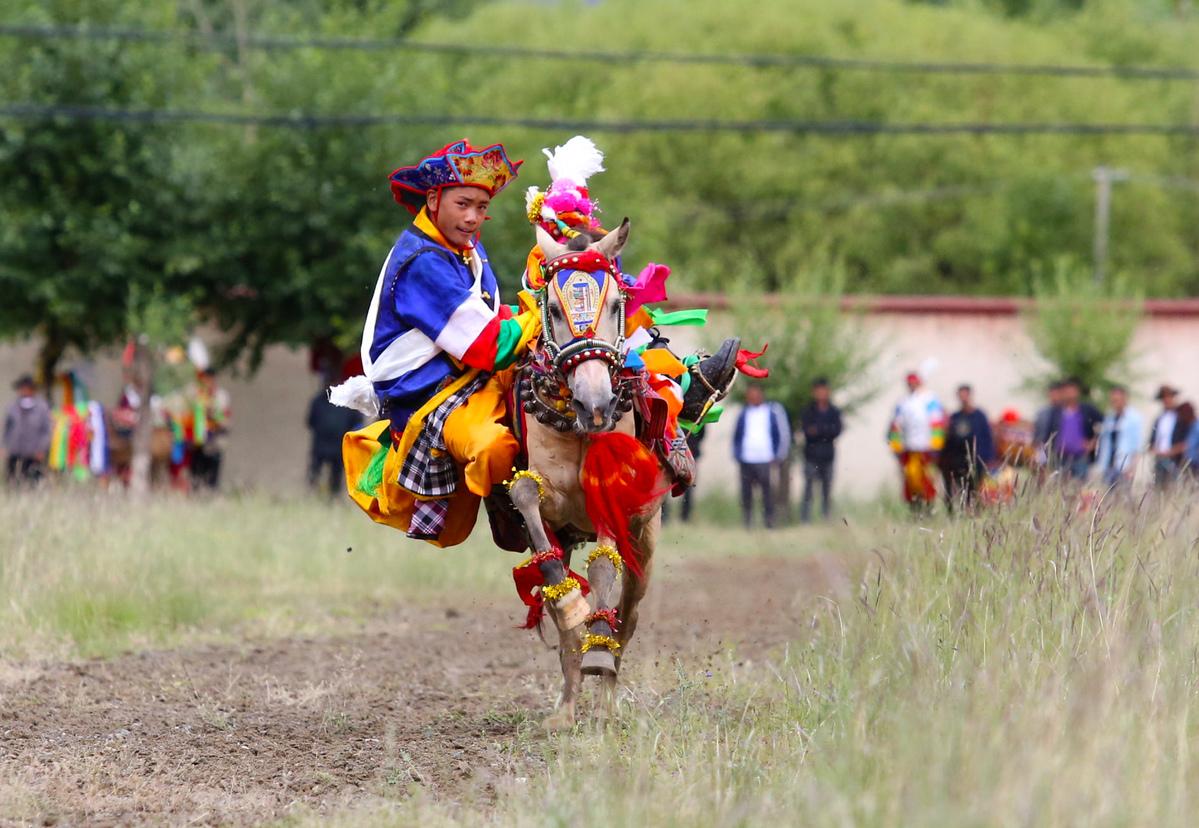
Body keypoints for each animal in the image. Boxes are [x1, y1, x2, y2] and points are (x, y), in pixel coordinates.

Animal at [505, 220, 676, 733]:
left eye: (618, 304)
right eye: (553, 309)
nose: (595, 403)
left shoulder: (613, 499)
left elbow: (604, 571)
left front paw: (598, 656)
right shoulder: (547, 502)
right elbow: (526, 492)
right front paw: (573, 610)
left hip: (645, 541)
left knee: (628, 614)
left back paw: (605, 696)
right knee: (563, 622)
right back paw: (567, 704)